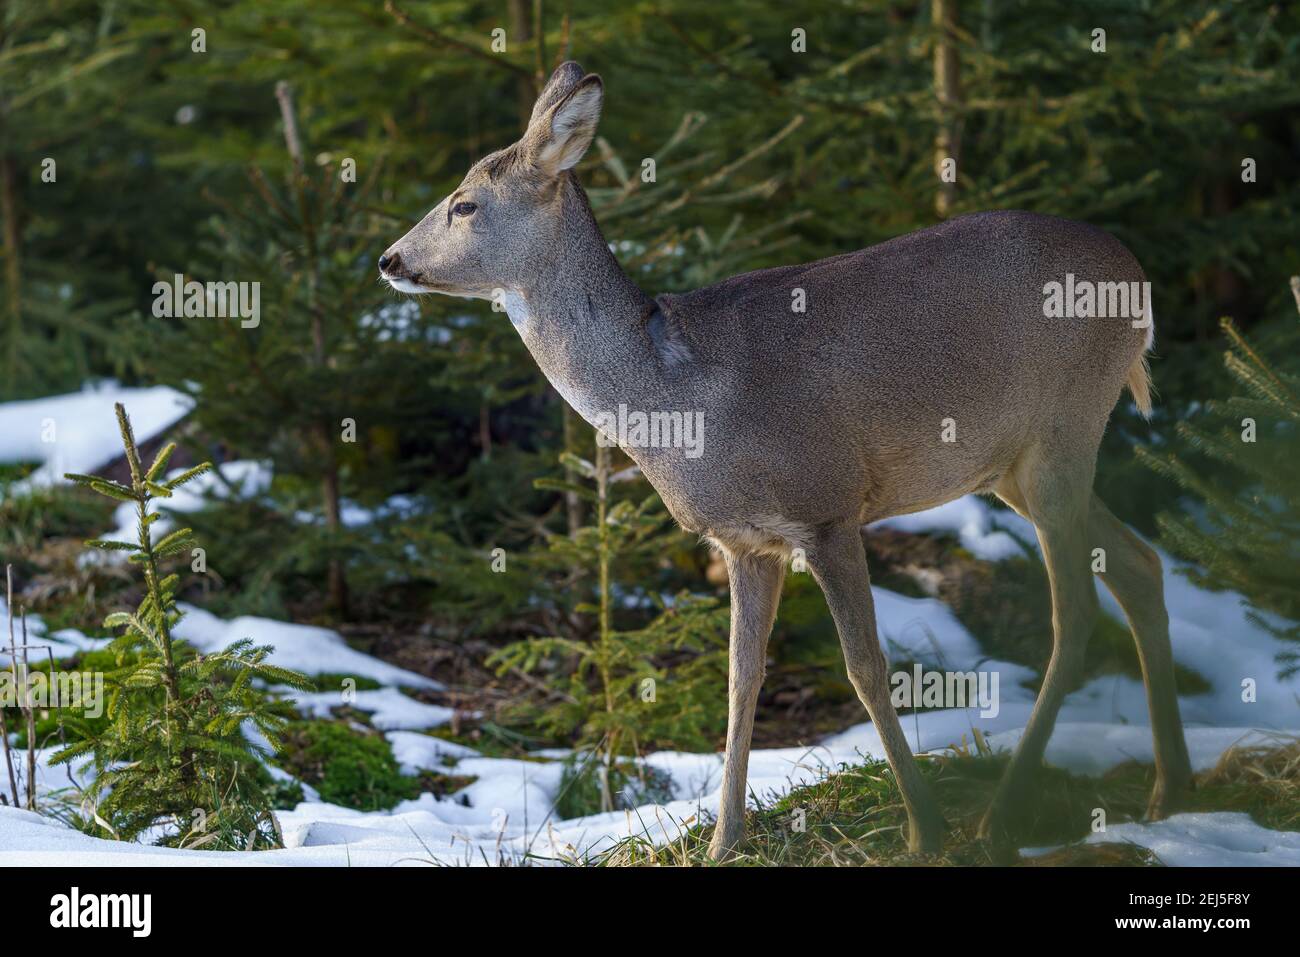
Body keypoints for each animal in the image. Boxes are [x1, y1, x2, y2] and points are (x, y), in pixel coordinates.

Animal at [379, 62, 1193, 861]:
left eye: (465, 204)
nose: (388, 259)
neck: (677, 398)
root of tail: (1138, 279)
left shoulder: (827, 505)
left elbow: (867, 670)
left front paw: (924, 829)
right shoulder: (745, 541)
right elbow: (742, 679)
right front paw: (722, 841)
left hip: (1064, 429)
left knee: (1076, 610)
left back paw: (1002, 816)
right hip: (1015, 465)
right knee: (1140, 564)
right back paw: (1168, 789)